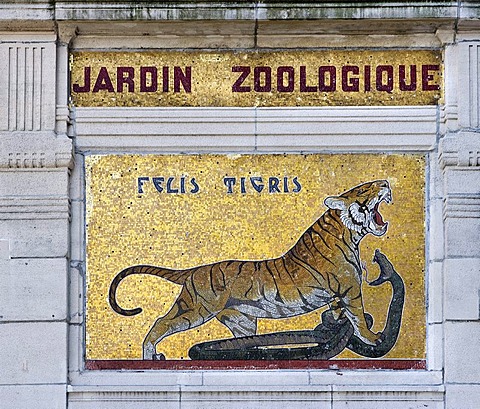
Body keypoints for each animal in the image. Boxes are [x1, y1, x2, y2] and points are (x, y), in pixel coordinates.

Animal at [110, 180, 392, 358]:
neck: (349, 233)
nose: (386, 183)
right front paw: (372, 337)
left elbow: (338, 314)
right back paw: (149, 354)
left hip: (242, 320)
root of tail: (195, 270)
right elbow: (358, 317)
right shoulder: (351, 288)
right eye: (364, 188)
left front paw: (335, 324)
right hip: (195, 309)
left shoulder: (337, 294)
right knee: (160, 322)